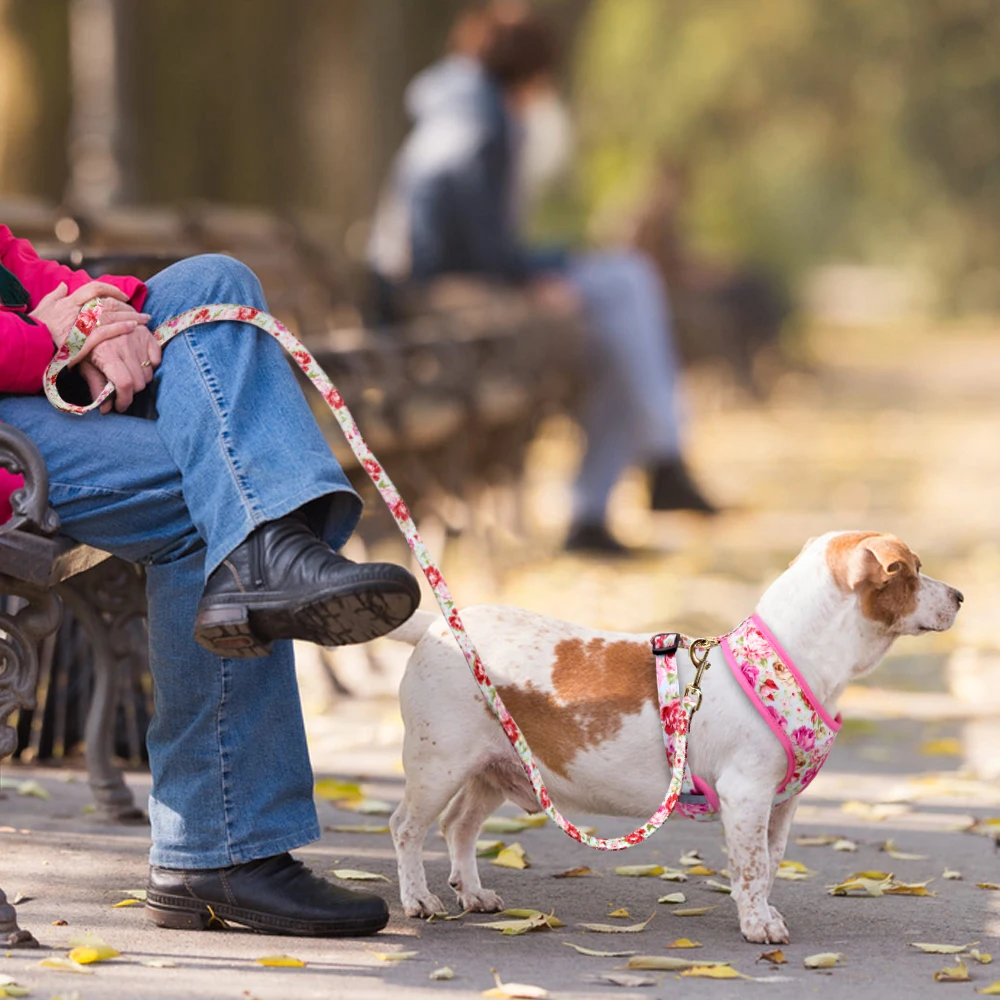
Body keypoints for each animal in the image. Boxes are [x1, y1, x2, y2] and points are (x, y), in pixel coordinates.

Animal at [388, 536, 960, 940]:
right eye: (911, 569)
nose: (959, 595)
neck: (788, 661)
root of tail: (437, 627)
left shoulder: (780, 805)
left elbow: (769, 864)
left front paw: (763, 911)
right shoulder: (747, 795)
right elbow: (751, 866)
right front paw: (758, 926)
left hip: (494, 770)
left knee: (458, 828)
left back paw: (473, 893)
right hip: (438, 768)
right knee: (407, 829)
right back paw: (418, 900)